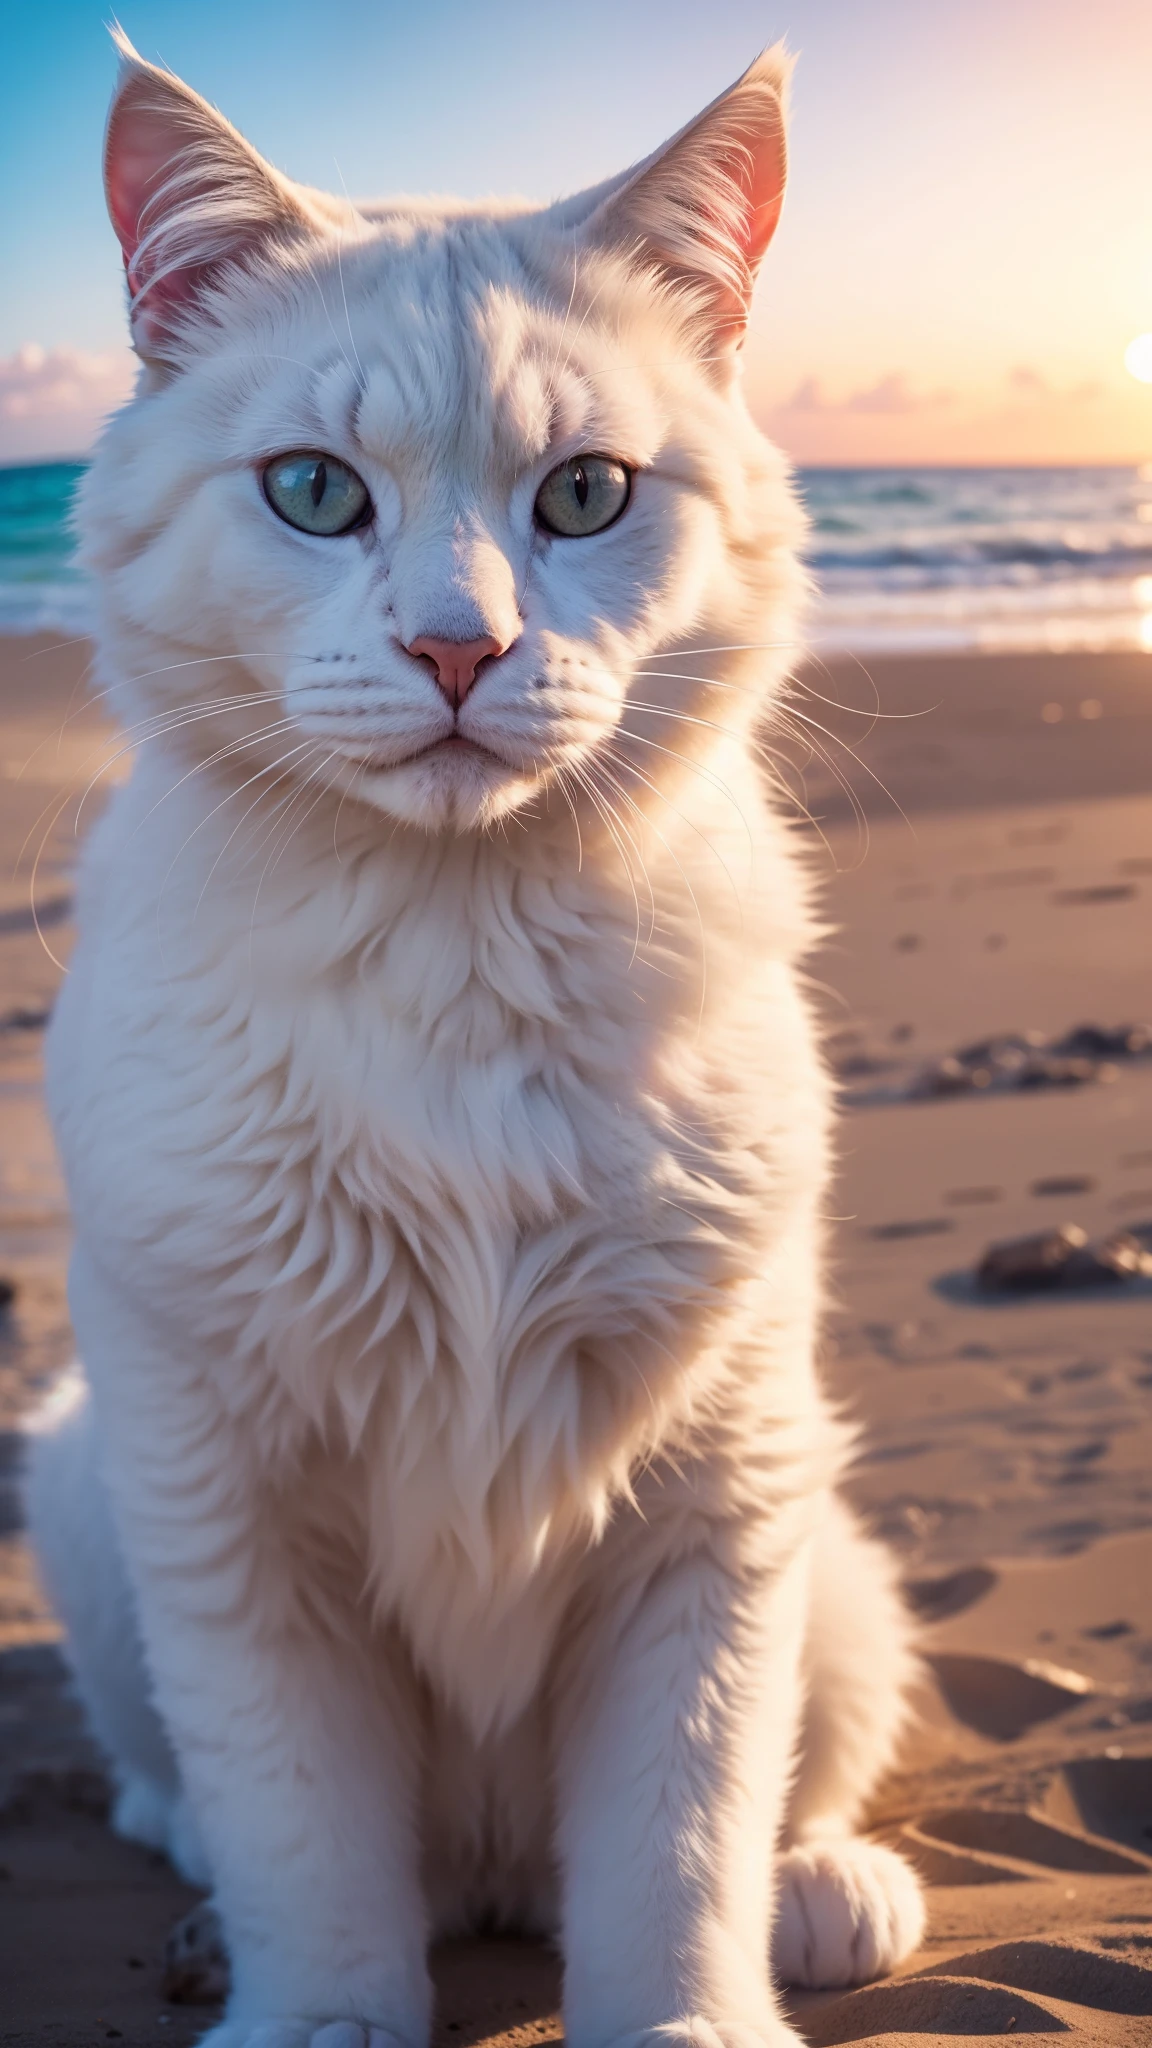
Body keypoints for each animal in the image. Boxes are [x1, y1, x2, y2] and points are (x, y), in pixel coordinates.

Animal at [29, 28, 922, 2048]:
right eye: (310, 491)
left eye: (586, 498)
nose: (458, 648)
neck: (456, 958)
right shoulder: (226, 1500)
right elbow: (300, 1826)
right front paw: (315, 2009)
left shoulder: (712, 1492)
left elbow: (682, 1828)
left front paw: (689, 2014)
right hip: (87, 1486)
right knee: (184, 1790)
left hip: (822, 1528)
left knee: (795, 1775)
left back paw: (825, 1890)